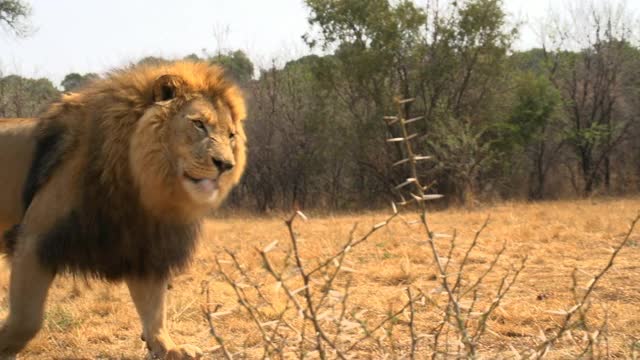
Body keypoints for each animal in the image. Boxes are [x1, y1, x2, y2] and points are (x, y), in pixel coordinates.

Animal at [0, 60, 248, 358]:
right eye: (199, 124)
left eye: (231, 135)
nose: (226, 165)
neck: (142, 182)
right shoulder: (35, 240)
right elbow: (26, 319)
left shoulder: (145, 246)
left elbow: (154, 308)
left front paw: (167, 347)